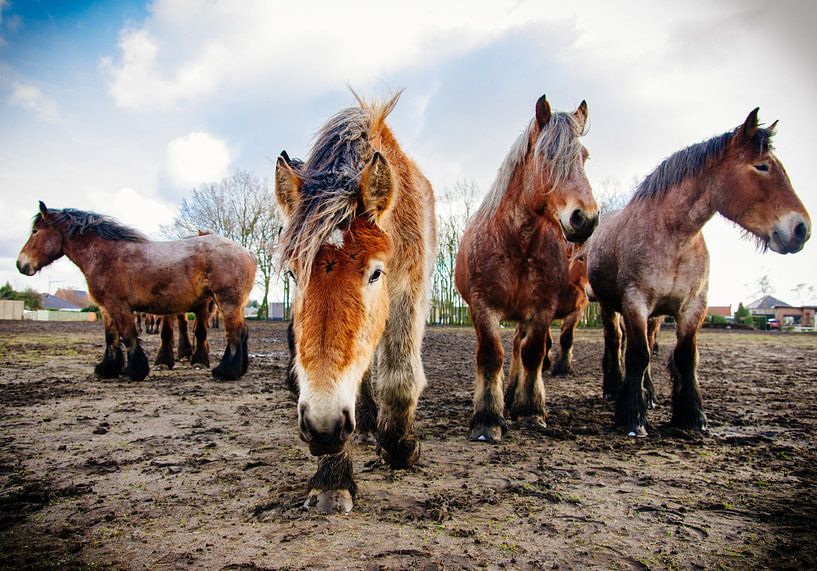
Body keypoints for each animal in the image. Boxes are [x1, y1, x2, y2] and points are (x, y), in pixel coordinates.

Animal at [17, 203, 256, 382]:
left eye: (35, 231)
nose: (21, 264)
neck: (107, 255)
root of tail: (247, 253)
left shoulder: (119, 306)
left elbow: (128, 336)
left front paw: (135, 371)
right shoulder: (106, 309)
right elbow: (111, 338)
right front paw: (107, 369)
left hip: (227, 302)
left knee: (235, 334)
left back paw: (225, 372)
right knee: (243, 331)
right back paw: (240, 369)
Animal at [275, 92, 436, 512]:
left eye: (375, 273)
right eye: (293, 274)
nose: (323, 427)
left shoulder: (409, 289)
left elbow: (398, 376)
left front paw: (401, 446)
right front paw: (332, 478)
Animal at [454, 94, 598, 444]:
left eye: (584, 157)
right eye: (546, 155)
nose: (585, 219)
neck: (516, 244)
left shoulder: (542, 309)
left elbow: (533, 353)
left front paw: (531, 411)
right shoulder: (482, 306)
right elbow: (491, 356)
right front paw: (487, 419)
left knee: (521, 348)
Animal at [586, 108, 811, 436]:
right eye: (762, 166)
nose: (801, 229)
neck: (675, 237)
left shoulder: (694, 306)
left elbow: (684, 357)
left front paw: (691, 416)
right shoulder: (634, 302)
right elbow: (638, 355)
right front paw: (632, 419)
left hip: (656, 315)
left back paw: (649, 394)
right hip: (610, 306)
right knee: (616, 342)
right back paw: (615, 388)